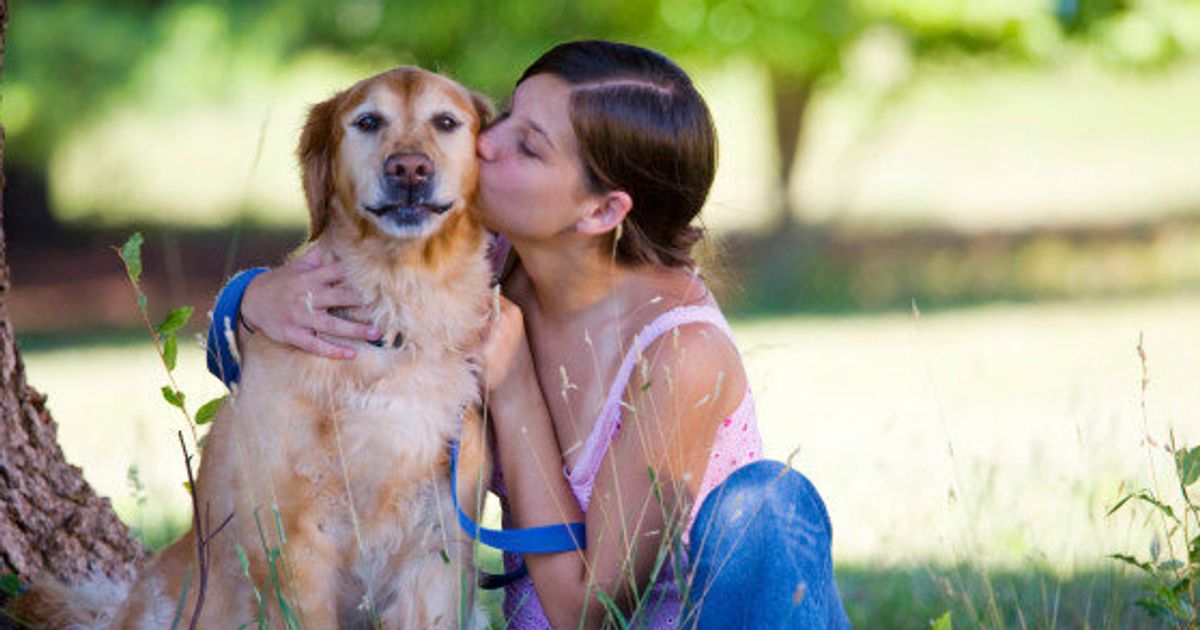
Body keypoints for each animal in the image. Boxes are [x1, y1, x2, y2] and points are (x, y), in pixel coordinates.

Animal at [12, 65, 492, 628]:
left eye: (446, 122)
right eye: (369, 122)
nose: (409, 169)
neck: (393, 313)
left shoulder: (436, 548)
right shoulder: (294, 545)